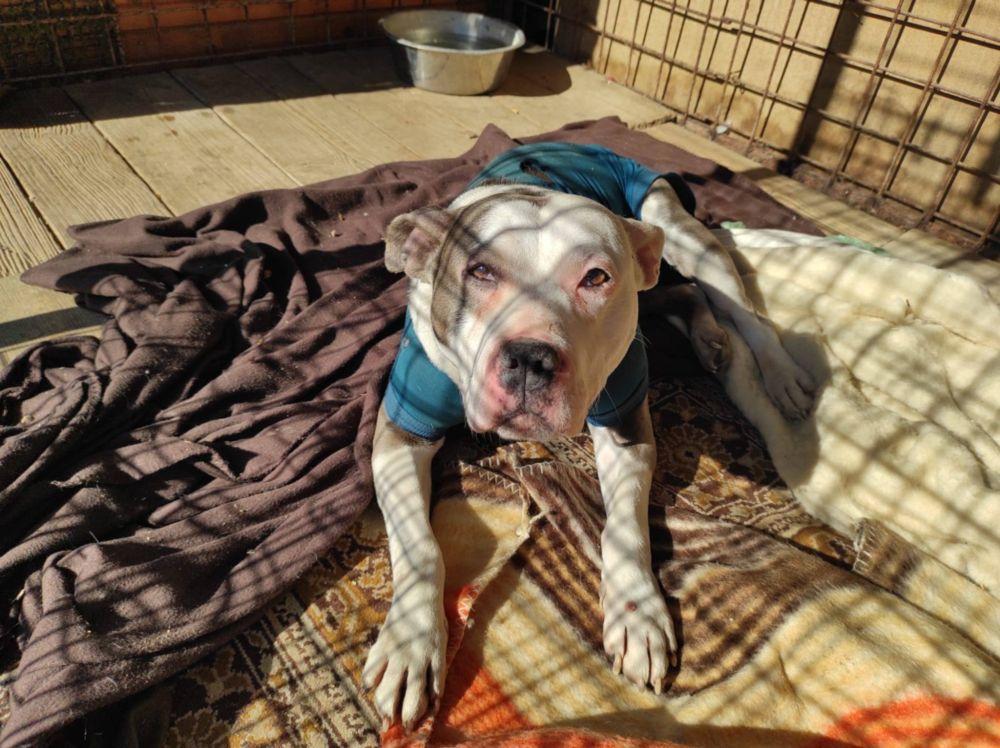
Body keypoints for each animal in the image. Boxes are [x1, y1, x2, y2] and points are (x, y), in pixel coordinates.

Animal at [362, 143, 815, 730]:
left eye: (596, 278)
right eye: (479, 271)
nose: (530, 358)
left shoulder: (625, 422)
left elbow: (623, 528)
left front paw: (638, 613)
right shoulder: (402, 431)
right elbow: (421, 547)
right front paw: (412, 644)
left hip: (678, 229)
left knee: (743, 311)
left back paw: (781, 375)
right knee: (681, 294)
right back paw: (711, 339)